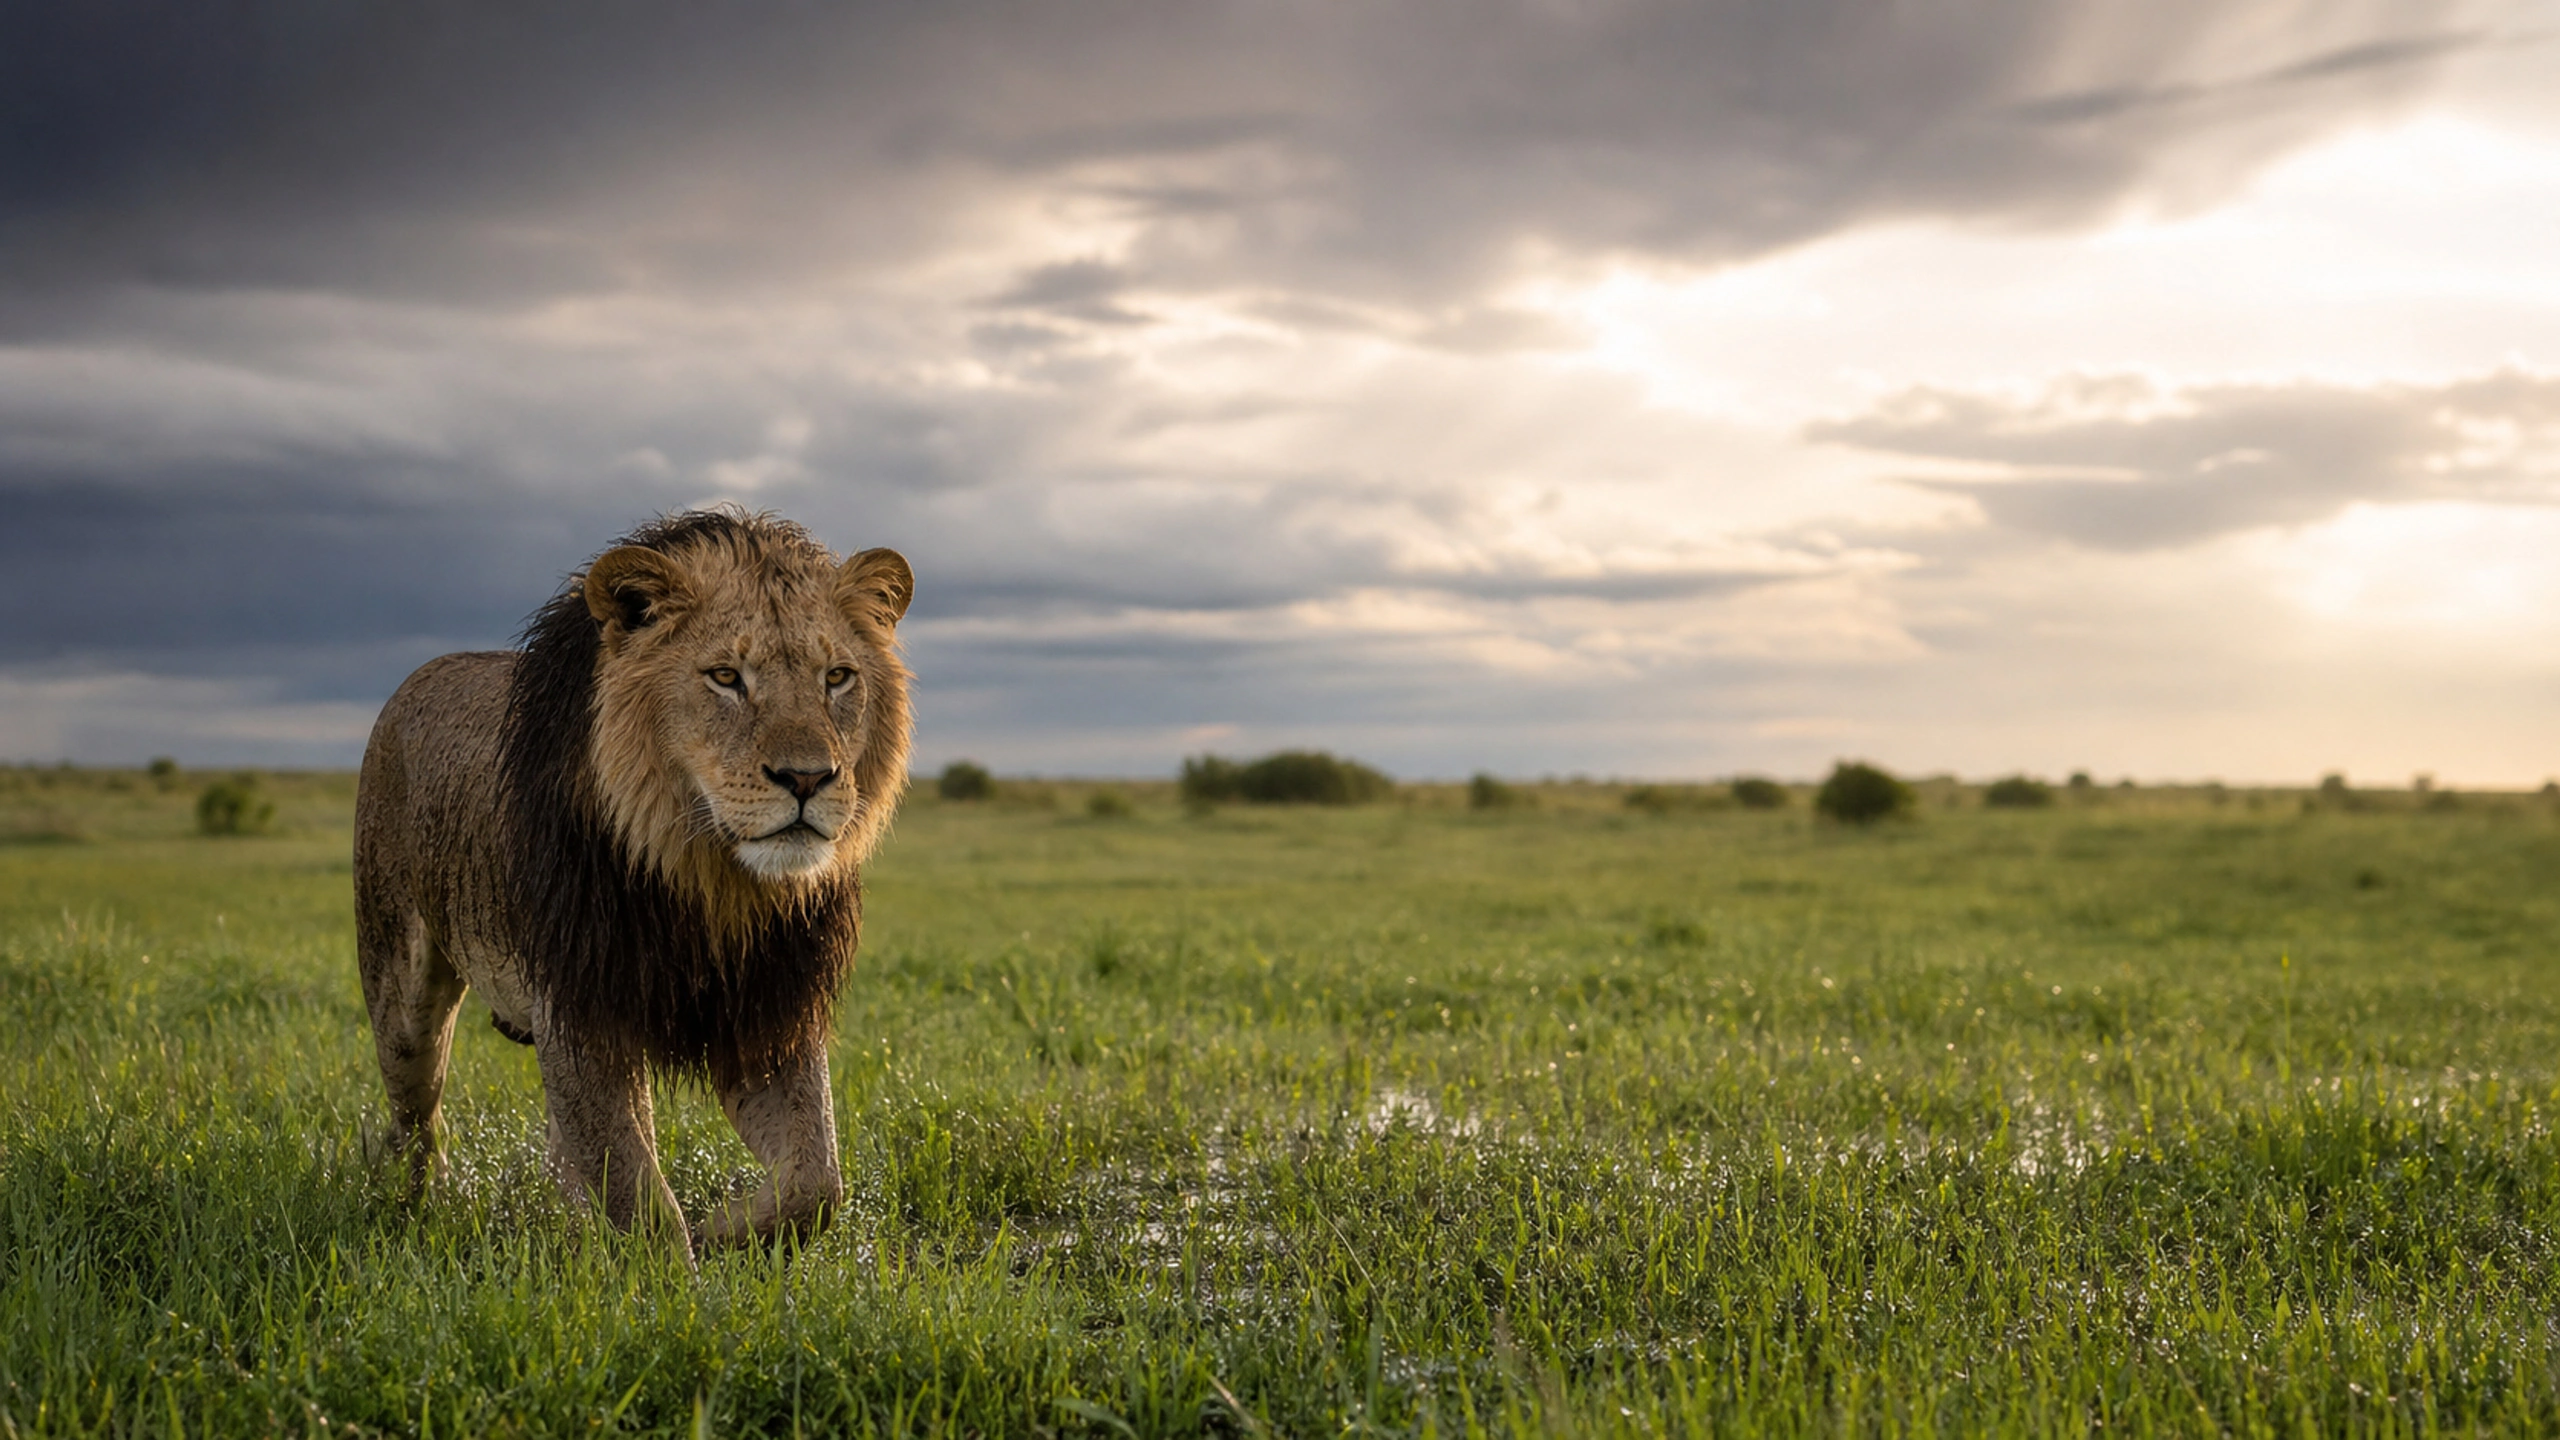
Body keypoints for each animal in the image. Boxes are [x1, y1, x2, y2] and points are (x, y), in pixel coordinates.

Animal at [354, 509, 913, 1258]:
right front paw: (675, 1274)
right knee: (416, 1118)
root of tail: (419, 675)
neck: (711, 883)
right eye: (726, 676)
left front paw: (720, 1231)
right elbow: (639, 1197)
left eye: (838, 677)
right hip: (398, 986)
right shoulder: (579, 1009)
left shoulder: (768, 1008)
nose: (806, 778)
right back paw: (426, 1204)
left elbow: (815, 1184)